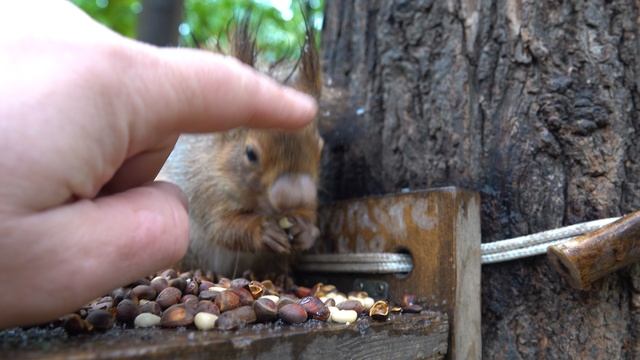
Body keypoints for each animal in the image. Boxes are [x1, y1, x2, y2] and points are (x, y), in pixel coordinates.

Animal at [158, 12, 322, 274]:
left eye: (320, 148)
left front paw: (305, 229)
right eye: (251, 153)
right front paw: (263, 231)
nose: (295, 197)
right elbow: (222, 226)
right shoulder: (204, 188)